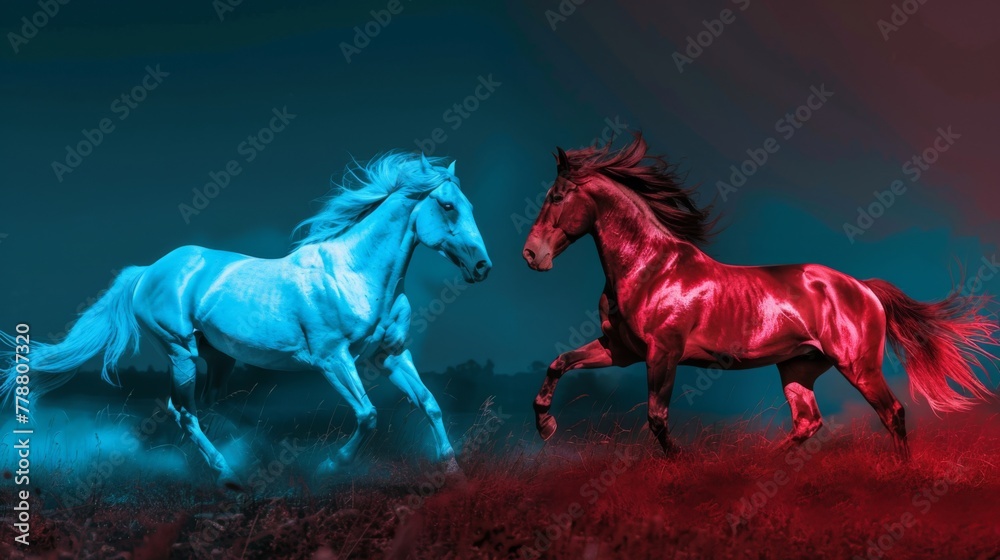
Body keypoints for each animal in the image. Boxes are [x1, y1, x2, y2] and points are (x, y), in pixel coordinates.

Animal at [1, 152, 492, 486]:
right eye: (448, 206)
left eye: (469, 204)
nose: (482, 267)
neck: (356, 274)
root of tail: (148, 271)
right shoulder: (333, 359)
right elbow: (368, 415)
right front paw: (330, 467)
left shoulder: (390, 355)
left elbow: (429, 403)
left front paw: (454, 472)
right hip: (180, 351)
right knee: (184, 411)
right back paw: (227, 475)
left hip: (220, 357)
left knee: (209, 407)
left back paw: (241, 458)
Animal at [522, 133, 997, 458]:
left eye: (557, 196)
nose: (531, 254)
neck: (650, 269)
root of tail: (863, 288)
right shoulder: (621, 351)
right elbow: (559, 364)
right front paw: (546, 426)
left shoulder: (663, 353)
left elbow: (657, 418)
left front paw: (679, 462)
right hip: (798, 367)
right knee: (808, 422)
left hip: (857, 365)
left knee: (892, 413)